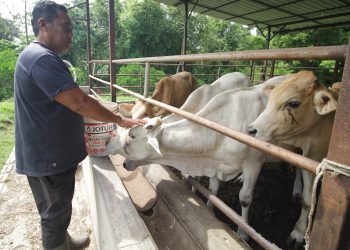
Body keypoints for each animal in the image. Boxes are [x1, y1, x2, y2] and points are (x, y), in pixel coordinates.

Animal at [106, 74, 288, 240]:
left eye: (132, 137)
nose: (108, 142)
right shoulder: (214, 163)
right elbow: (212, 189)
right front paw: (207, 207)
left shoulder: (254, 161)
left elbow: (244, 198)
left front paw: (243, 233)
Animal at [249, 71, 340, 250]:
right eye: (270, 99)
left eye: (293, 103)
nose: (251, 129)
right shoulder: (309, 158)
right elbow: (306, 200)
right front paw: (298, 232)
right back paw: (296, 189)